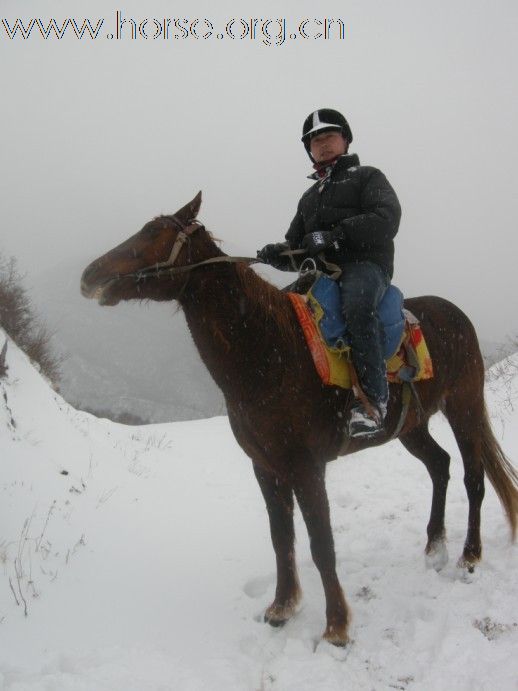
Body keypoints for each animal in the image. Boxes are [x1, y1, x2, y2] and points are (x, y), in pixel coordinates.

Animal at [80, 193, 518, 648]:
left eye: (152, 233)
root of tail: (457, 316)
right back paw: (434, 548)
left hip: (464, 407)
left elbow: (321, 544)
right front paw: (282, 606)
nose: (90, 276)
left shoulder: (307, 468)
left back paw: (469, 555)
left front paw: (337, 626)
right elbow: (281, 538)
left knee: (473, 477)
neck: (269, 352)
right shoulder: (266, 467)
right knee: (439, 466)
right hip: (411, 427)